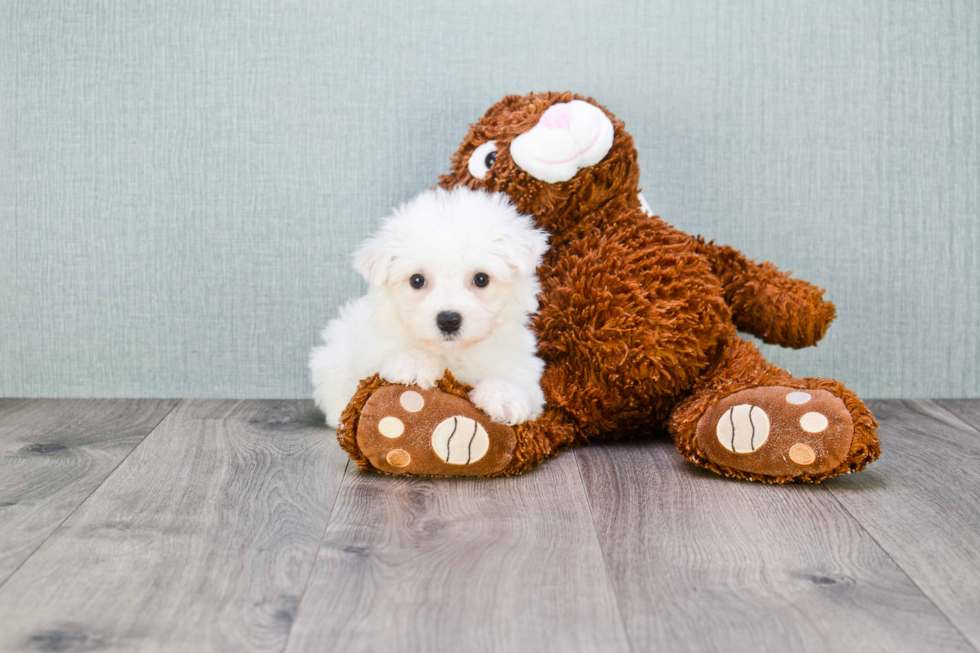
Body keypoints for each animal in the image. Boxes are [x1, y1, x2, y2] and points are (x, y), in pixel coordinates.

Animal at [310, 187, 548, 428]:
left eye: (481, 279)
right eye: (417, 280)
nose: (448, 320)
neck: (451, 353)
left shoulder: (521, 365)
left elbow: (515, 380)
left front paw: (504, 398)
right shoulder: (369, 355)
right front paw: (414, 364)